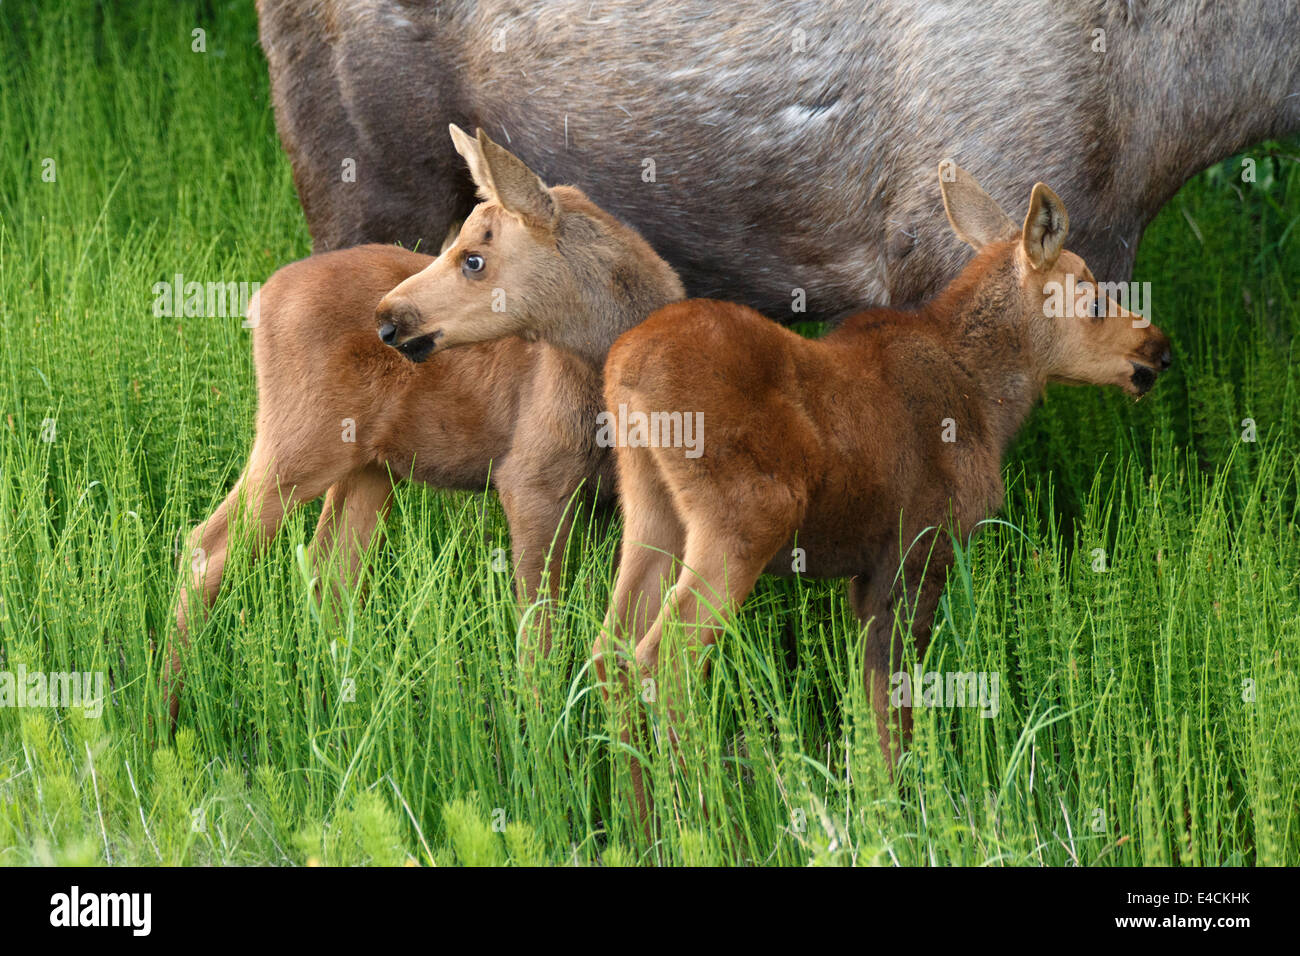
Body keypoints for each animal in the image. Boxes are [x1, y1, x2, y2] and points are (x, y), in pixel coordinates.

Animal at [167, 125, 686, 717]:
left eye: (473, 259)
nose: (387, 320)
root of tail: (259, 300)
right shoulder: (527, 479)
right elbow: (539, 634)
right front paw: (537, 729)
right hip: (297, 441)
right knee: (206, 547)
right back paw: (168, 704)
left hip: (367, 466)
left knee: (330, 572)